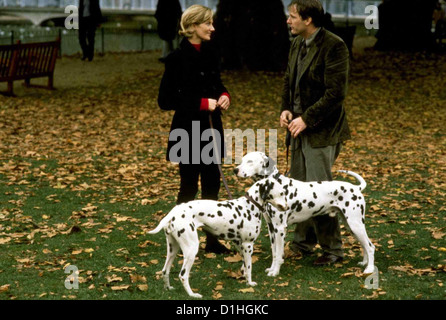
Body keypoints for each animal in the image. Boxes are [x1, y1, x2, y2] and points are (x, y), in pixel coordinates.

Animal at [146, 175, 286, 298]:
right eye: (281, 193)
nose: (287, 207)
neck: (249, 206)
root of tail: (173, 213)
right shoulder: (248, 244)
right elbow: (249, 267)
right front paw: (249, 283)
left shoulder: (239, 244)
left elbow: (244, 265)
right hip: (191, 250)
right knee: (183, 275)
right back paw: (192, 294)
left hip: (172, 249)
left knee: (165, 270)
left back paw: (168, 288)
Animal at [235, 152, 374, 276]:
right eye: (242, 160)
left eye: (250, 161)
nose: (235, 170)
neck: (275, 186)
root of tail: (356, 188)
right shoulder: (271, 228)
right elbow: (274, 252)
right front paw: (271, 269)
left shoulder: (280, 229)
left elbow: (279, 254)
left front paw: (275, 272)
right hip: (352, 226)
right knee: (365, 245)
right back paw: (364, 263)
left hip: (355, 224)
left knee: (370, 247)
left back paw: (369, 269)